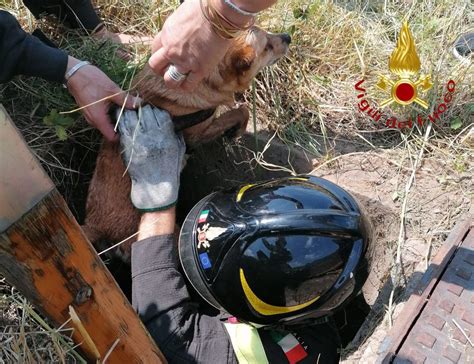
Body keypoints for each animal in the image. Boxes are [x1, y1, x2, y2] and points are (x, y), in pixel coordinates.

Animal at [83, 27, 290, 260]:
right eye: (267, 47)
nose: (288, 37)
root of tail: (95, 226)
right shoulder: (199, 132)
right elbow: (240, 110)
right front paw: (236, 129)